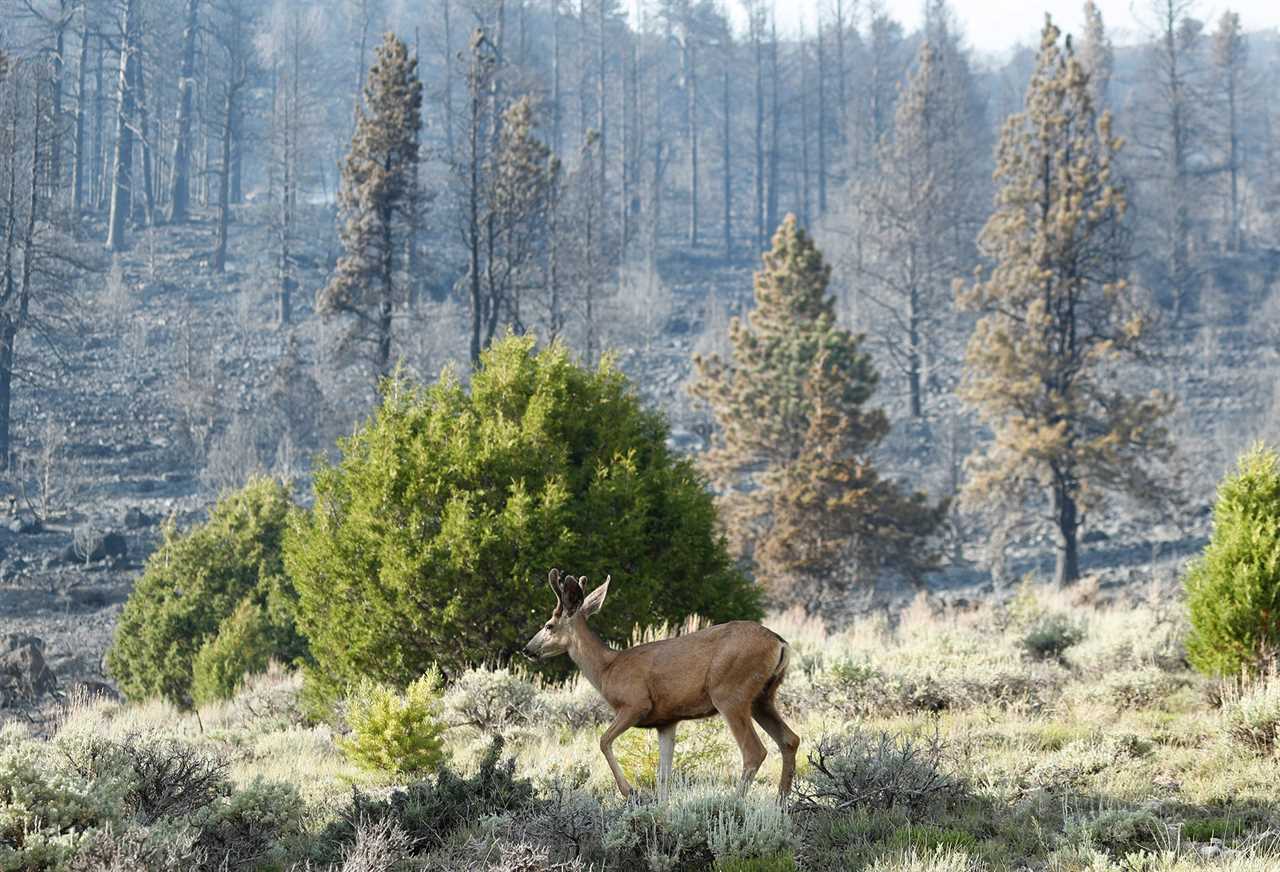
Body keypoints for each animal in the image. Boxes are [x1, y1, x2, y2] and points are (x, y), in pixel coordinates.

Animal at [524, 568, 793, 799]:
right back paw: (781, 803)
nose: (527, 649)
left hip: (730, 693)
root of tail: (780, 643)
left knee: (754, 751)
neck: (607, 669)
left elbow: (603, 740)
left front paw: (630, 792)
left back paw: (733, 804)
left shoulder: (636, 703)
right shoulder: (666, 721)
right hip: (762, 698)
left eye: (549, 625)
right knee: (790, 740)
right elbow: (664, 774)